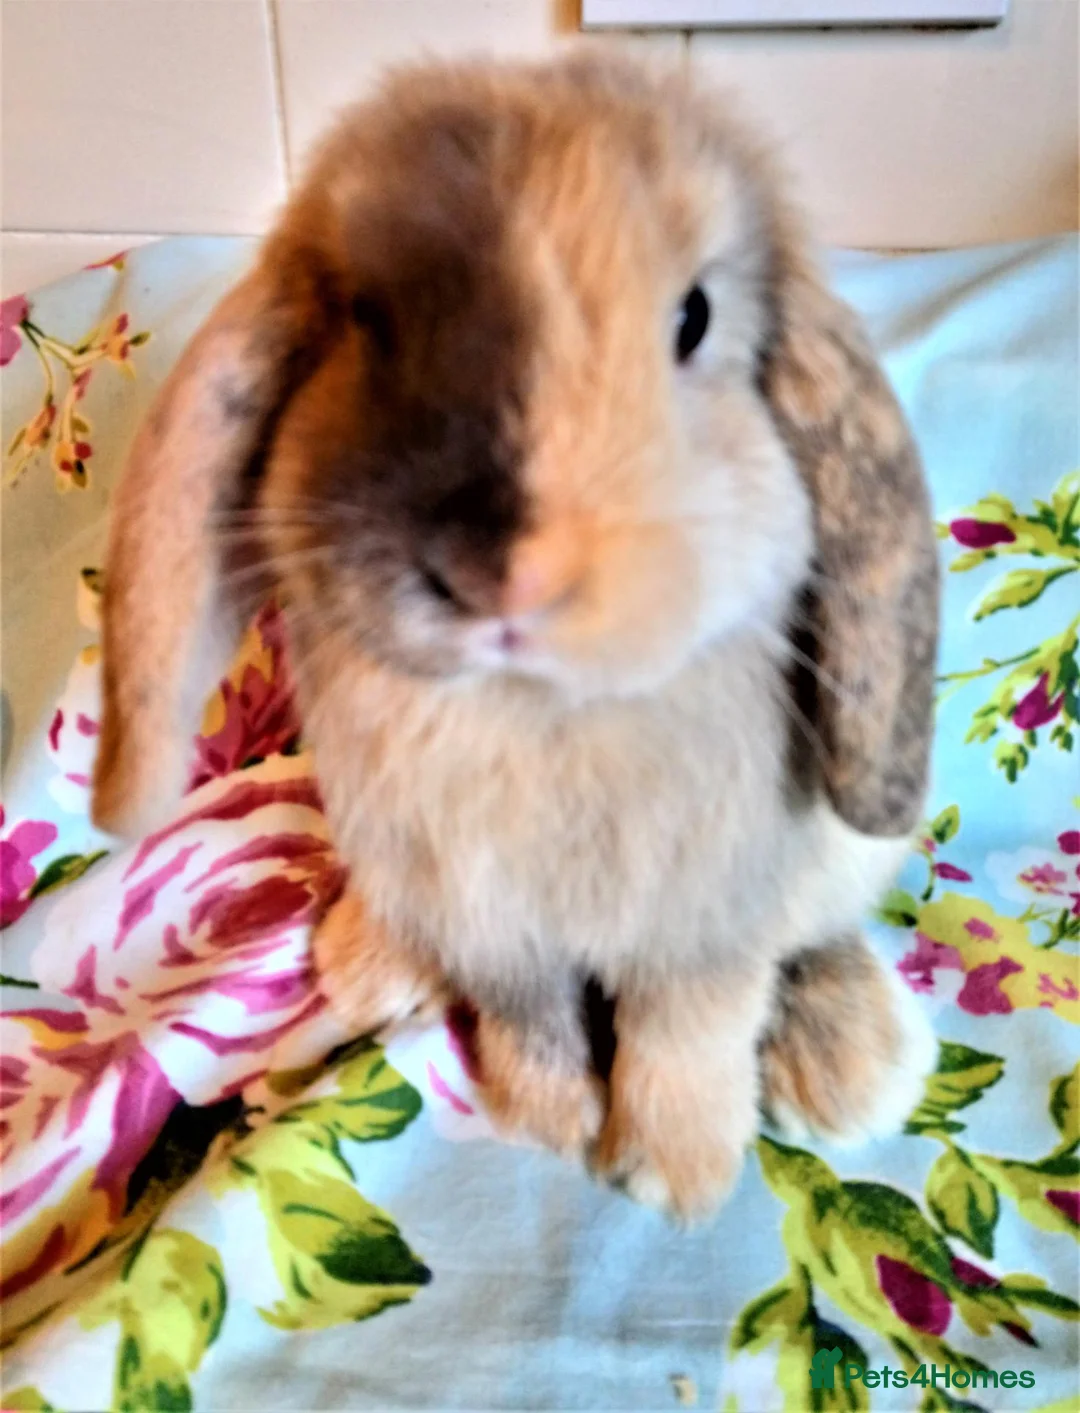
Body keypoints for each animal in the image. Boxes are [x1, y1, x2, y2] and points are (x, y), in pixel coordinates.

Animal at [91, 49, 939, 1220]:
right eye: (367, 317)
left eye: (694, 318)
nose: (507, 576)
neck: (534, 715)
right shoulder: (487, 916)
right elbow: (526, 1016)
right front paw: (546, 1121)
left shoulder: (702, 928)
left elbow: (689, 1035)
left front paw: (673, 1176)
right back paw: (370, 962)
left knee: (815, 938)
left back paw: (846, 1069)